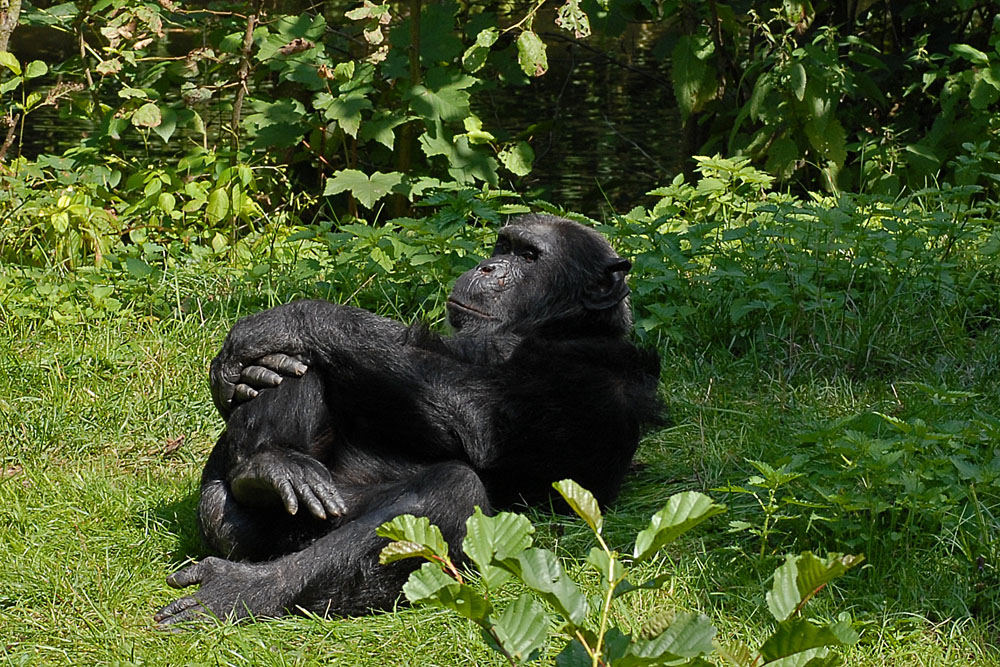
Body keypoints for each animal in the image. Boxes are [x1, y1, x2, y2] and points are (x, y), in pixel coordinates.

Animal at [152, 215, 660, 628]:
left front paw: (283, 320)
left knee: (452, 491)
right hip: (253, 517)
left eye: (529, 256)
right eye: (504, 245)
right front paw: (244, 368)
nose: (489, 267)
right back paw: (268, 467)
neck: (559, 329)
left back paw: (245, 588)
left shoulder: (593, 386)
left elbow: (480, 422)